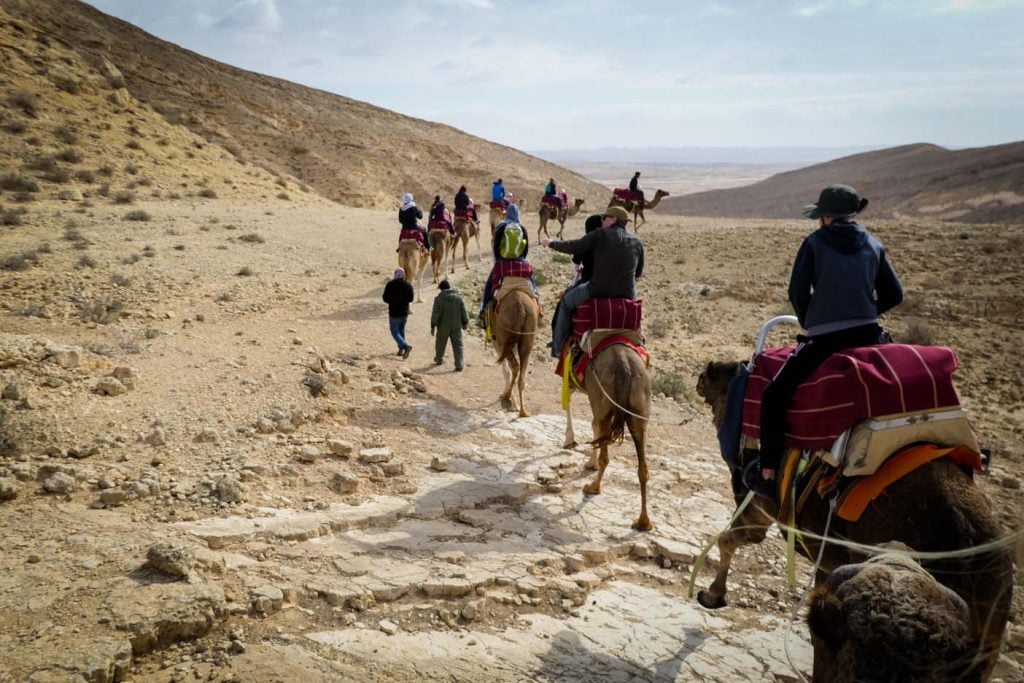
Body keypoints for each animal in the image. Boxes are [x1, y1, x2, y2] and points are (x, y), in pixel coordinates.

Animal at [491, 288, 540, 417]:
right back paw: (523, 411)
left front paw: (506, 397)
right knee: (522, 372)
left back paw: (506, 398)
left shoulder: (497, 343)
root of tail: (521, 306)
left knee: (514, 366)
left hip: (503, 338)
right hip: (529, 335)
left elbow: (505, 370)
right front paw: (514, 404)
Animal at [565, 344, 651, 532]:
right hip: (639, 412)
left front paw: (570, 442)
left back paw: (593, 487)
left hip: (602, 398)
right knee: (643, 468)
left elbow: (571, 407)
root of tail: (625, 367)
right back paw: (643, 522)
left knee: (604, 449)